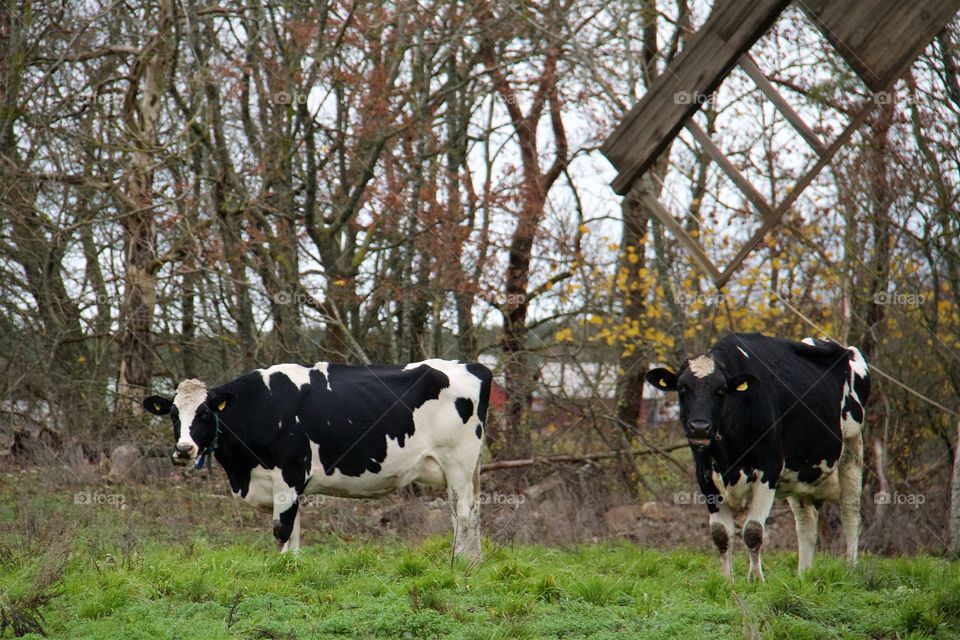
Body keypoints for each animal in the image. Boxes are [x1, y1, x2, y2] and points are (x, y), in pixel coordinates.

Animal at [143, 359, 492, 562]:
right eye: (174, 414)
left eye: (204, 413)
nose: (183, 449)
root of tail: (474, 366)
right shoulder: (284, 484)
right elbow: (294, 529)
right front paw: (292, 568)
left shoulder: (289, 473)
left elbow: (281, 529)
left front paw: (278, 570)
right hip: (459, 470)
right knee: (467, 513)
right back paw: (472, 564)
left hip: (458, 462)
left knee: (463, 514)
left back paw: (458, 564)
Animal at [645, 332, 869, 581]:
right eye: (682, 388)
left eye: (721, 390)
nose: (700, 427)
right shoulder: (705, 476)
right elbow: (720, 534)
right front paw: (726, 581)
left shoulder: (768, 470)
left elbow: (753, 530)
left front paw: (755, 580)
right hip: (799, 475)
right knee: (806, 522)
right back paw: (803, 575)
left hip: (853, 446)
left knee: (850, 511)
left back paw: (852, 569)